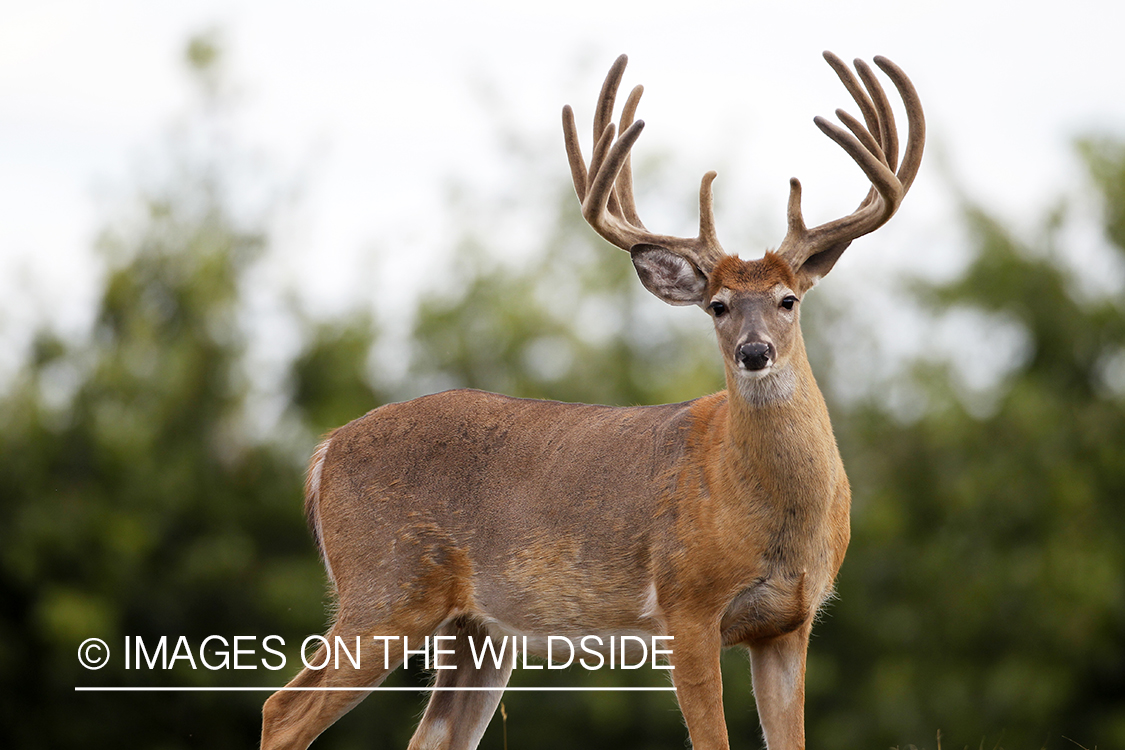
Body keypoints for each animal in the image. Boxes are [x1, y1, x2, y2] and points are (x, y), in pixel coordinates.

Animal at [261, 51, 922, 750]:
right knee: (283, 709)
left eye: (787, 300)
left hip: (477, 631)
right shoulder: (685, 603)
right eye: (717, 305)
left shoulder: (790, 624)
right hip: (387, 585)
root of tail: (326, 450)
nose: (754, 352)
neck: (773, 516)